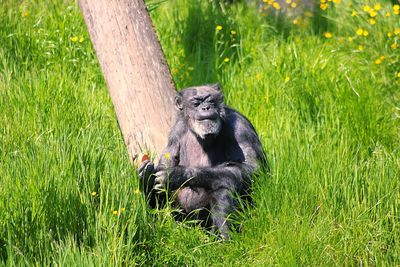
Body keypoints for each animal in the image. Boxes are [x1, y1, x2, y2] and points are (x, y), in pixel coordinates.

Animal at [139, 83, 268, 239]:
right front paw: (147, 175)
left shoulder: (240, 127)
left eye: (210, 100)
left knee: (222, 190)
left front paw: (177, 175)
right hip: (186, 221)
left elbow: (252, 168)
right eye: (196, 103)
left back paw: (227, 240)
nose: (205, 107)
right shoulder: (175, 132)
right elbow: (164, 169)